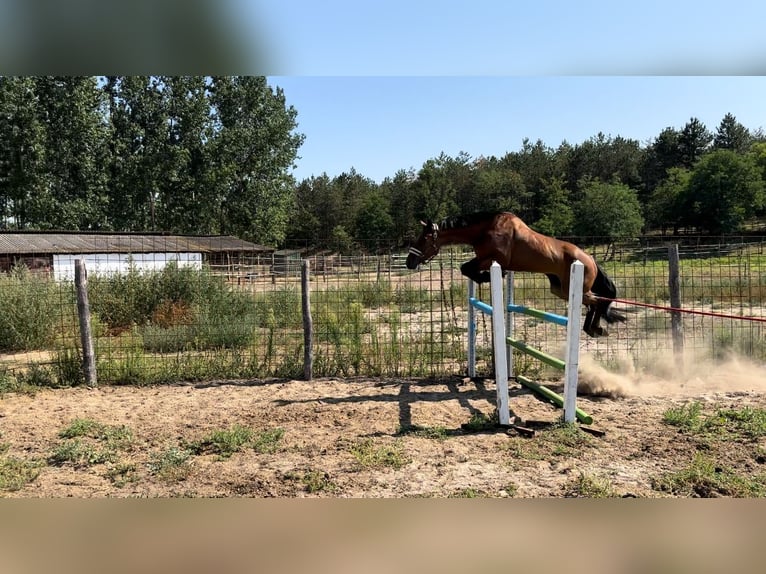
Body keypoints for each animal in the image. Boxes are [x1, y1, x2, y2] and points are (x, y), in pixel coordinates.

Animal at [404, 212, 628, 338]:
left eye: (424, 239)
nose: (409, 262)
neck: (484, 230)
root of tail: (590, 259)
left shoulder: (494, 258)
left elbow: (466, 268)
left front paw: (486, 277)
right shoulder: (485, 258)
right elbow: (467, 268)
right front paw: (484, 277)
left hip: (575, 288)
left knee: (597, 302)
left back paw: (595, 329)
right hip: (560, 289)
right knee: (594, 302)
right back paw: (592, 328)